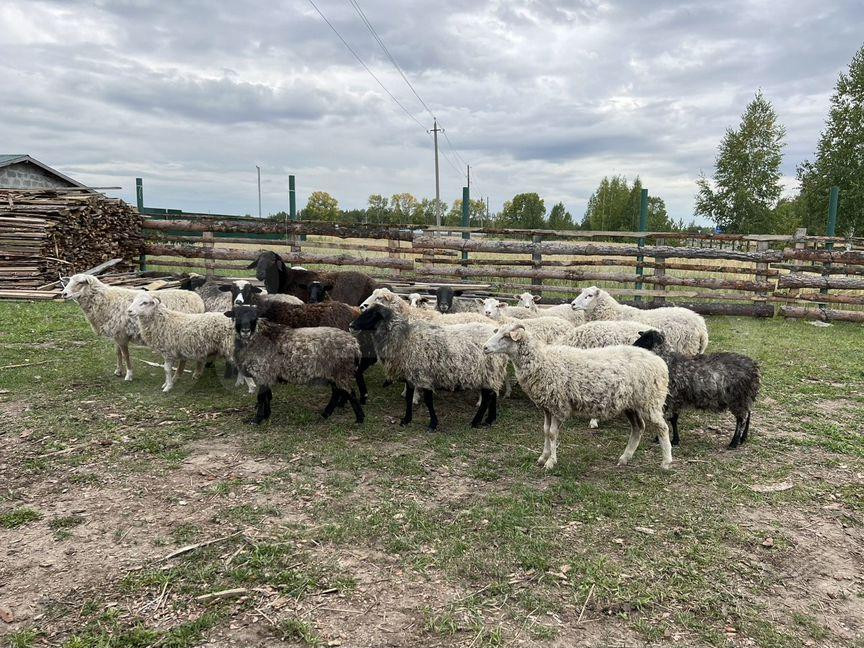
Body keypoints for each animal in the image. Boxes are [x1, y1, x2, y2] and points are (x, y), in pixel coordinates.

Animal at [61, 274, 205, 381]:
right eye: (69, 281)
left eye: (80, 283)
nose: (64, 294)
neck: (105, 300)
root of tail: (198, 300)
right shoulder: (116, 333)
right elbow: (118, 353)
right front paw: (118, 371)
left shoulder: (121, 335)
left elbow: (126, 355)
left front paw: (129, 375)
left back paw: (190, 374)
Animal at [228, 305, 364, 424]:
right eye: (236, 315)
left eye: (254, 317)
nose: (245, 331)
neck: (257, 337)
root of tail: (355, 345)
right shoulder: (267, 374)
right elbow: (267, 395)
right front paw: (266, 415)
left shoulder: (263, 372)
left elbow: (261, 397)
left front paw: (256, 420)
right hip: (332, 372)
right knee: (337, 392)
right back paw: (326, 414)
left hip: (340, 371)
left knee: (350, 393)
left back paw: (359, 419)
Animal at [349, 305, 508, 431]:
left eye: (371, 315)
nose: (351, 326)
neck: (403, 338)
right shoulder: (410, 374)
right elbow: (409, 398)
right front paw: (406, 420)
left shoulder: (423, 374)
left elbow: (428, 401)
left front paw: (432, 424)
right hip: (492, 372)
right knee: (493, 394)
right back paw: (489, 420)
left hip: (487, 370)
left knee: (487, 397)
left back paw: (475, 422)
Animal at [482, 321, 672, 471]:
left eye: (506, 336)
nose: (485, 347)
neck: (542, 361)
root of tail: (659, 361)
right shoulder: (547, 407)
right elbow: (545, 431)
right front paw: (543, 457)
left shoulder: (558, 405)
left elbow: (552, 434)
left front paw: (550, 462)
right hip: (631, 404)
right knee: (638, 427)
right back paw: (625, 458)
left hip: (650, 401)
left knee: (663, 428)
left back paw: (666, 462)